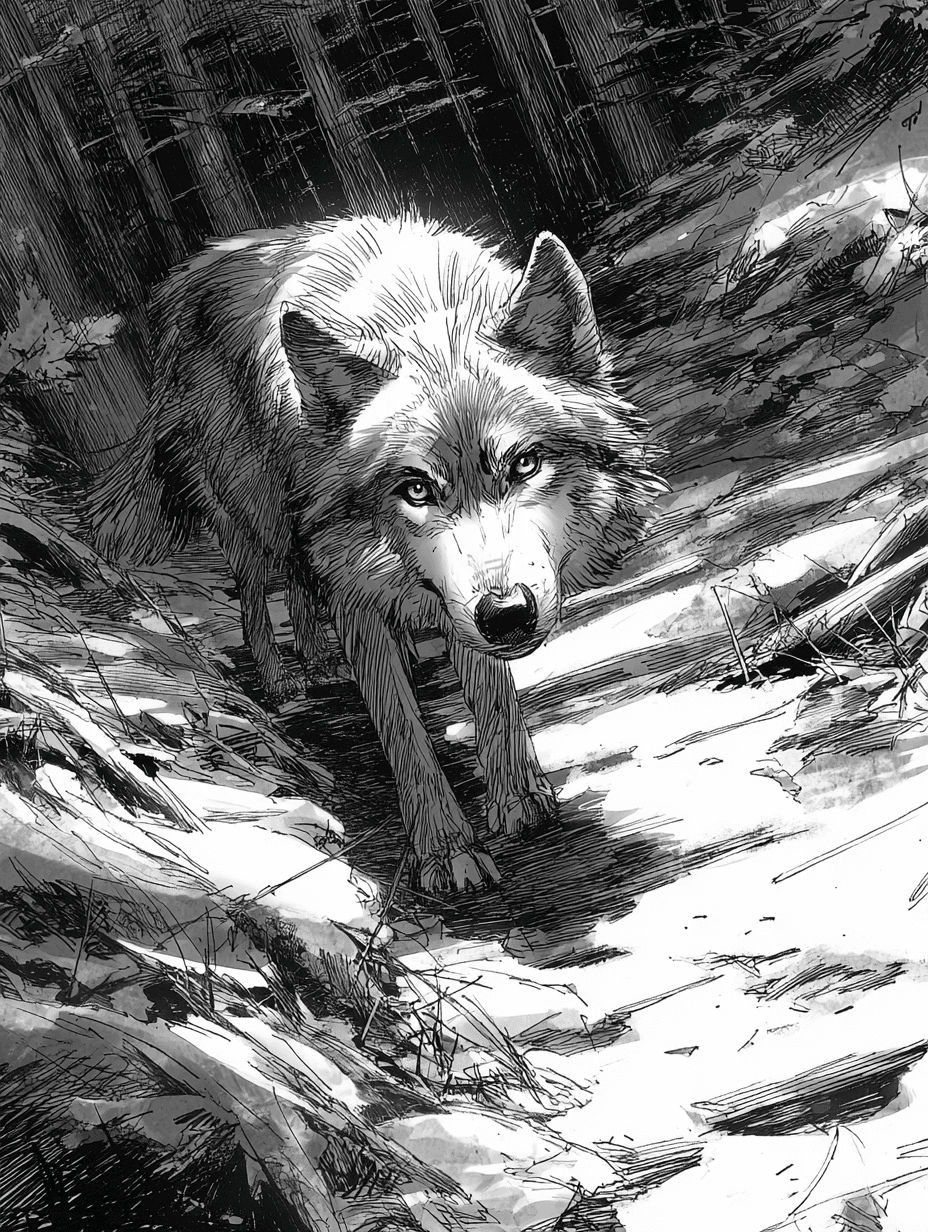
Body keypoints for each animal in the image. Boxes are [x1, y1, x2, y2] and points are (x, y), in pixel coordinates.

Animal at [93, 214, 664, 892]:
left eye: (524, 464)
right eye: (416, 489)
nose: (506, 614)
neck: (418, 306)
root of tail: (192, 270)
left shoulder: (453, 603)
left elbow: (491, 692)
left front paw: (518, 799)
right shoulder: (360, 598)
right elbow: (402, 731)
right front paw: (446, 852)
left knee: (301, 581)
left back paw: (325, 662)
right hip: (256, 515)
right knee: (256, 589)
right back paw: (284, 680)